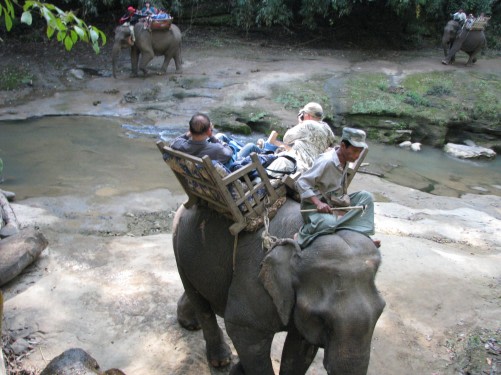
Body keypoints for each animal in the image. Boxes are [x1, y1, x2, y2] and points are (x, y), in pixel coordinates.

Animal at [171, 198, 382, 374]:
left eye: (380, 312)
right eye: (322, 319)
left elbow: (299, 350)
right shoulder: (253, 279)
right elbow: (243, 331)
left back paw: (192, 324)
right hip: (179, 244)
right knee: (198, 299)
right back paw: (220, 360)